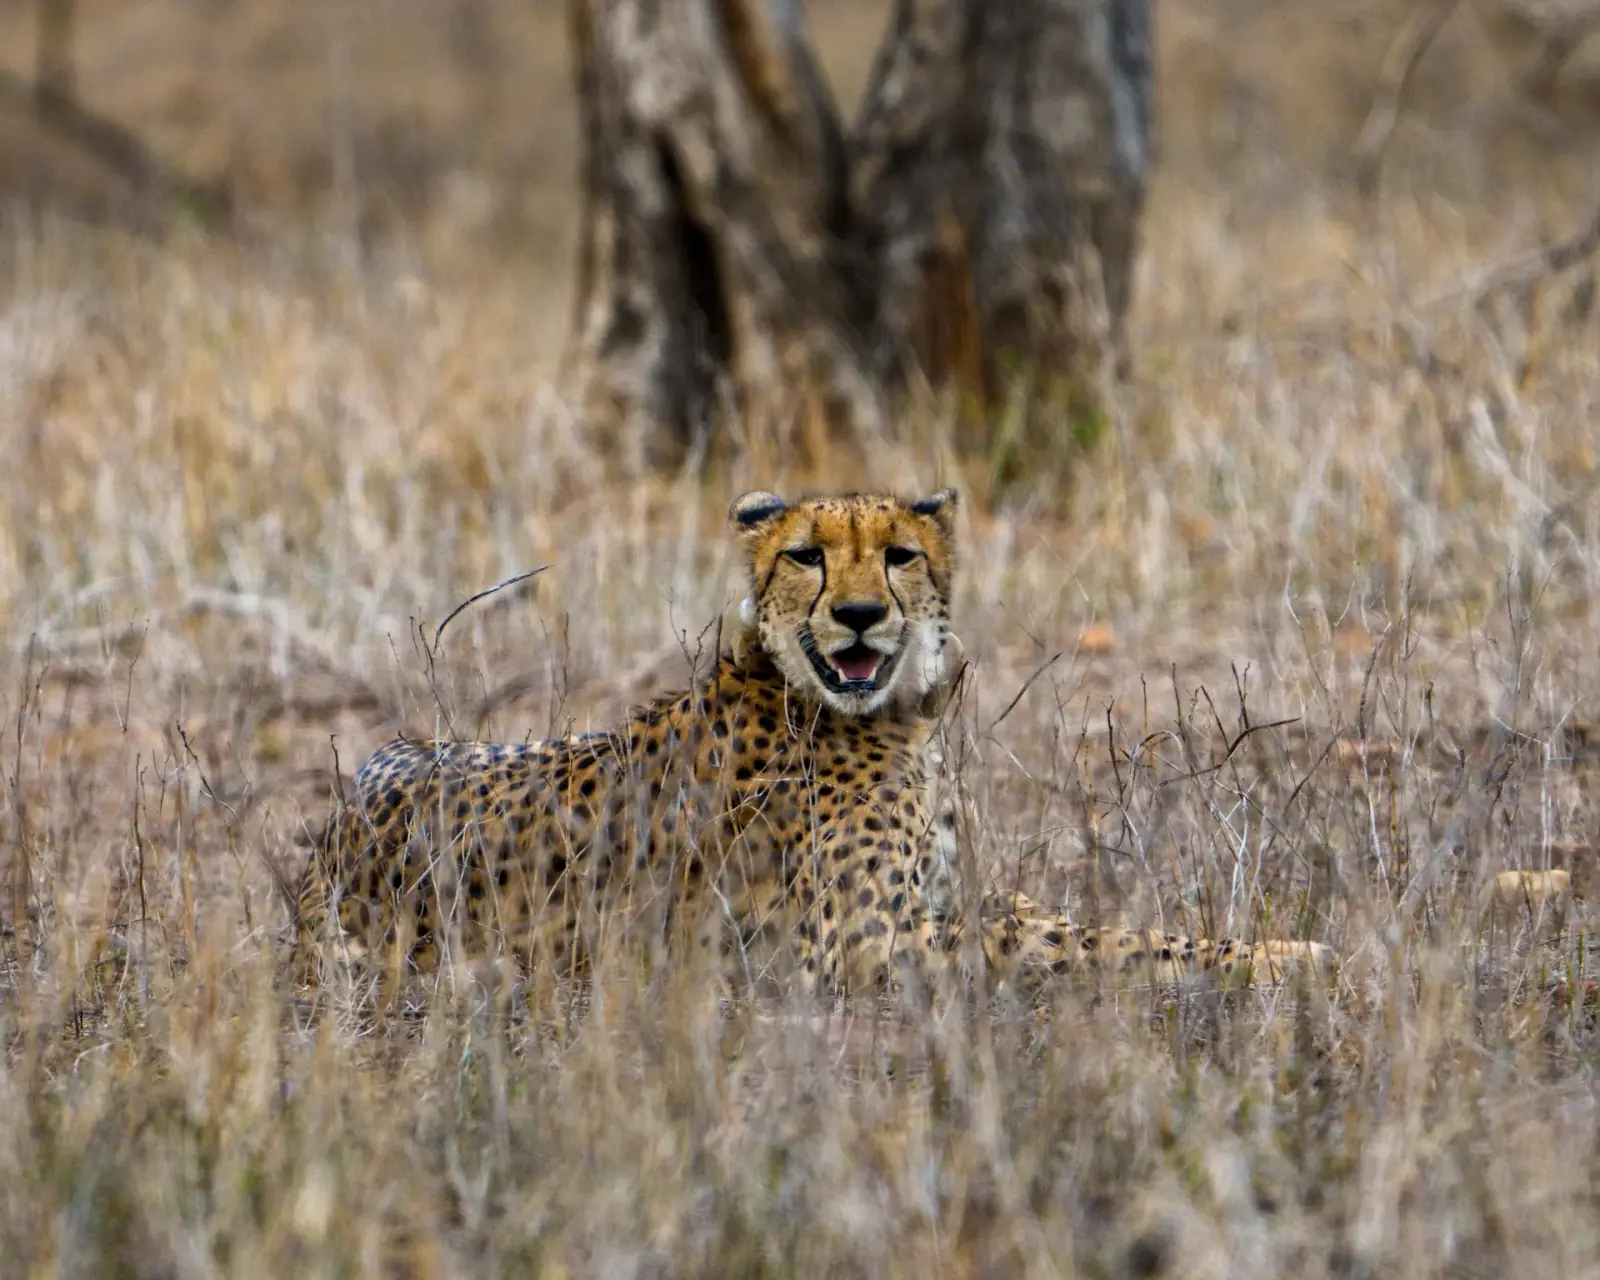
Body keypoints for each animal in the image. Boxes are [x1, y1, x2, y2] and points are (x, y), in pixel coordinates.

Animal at [290, 487, 1332, 1000]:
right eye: (806, 555)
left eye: (899, 555)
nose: (860, 615)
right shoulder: (863, 945)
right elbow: (1085, 943)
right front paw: (1286, 960)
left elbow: (1063, 918)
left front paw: (1279, 945)